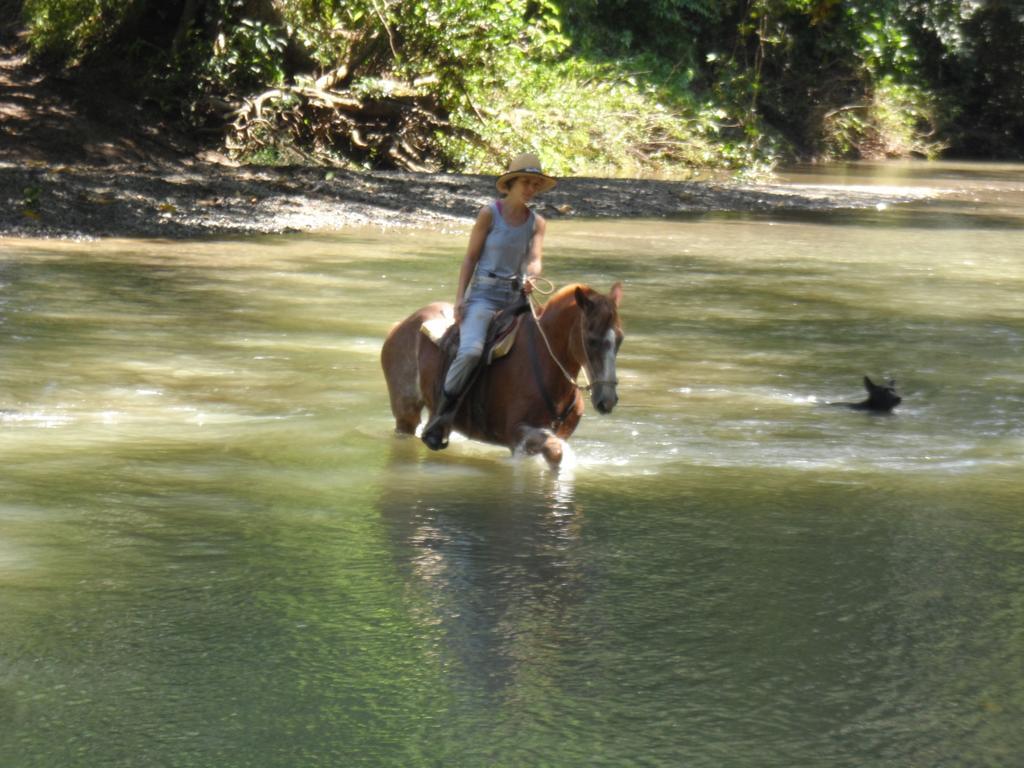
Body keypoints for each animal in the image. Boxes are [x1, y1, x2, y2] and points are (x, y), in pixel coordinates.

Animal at [385, 280, 622, 466]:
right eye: (591, 340)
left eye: (619, 338)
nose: (607, 400)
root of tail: (400, 325)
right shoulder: (517, 433)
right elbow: (554, 453)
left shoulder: (558, 434)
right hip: (405, 413)